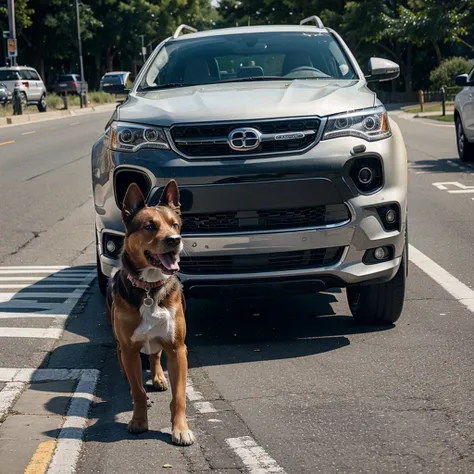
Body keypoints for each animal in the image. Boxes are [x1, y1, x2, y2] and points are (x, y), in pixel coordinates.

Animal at [107, 180, 194, 446]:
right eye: (149, 226)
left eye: (175, 224)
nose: (175, 240)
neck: (149, 288)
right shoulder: (130, 349)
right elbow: (138, 390)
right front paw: (138, 421)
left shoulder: (177, 349)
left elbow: (179, 396)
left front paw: (180, 429)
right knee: (122, 356)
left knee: (155, 355)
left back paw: (158, 377)